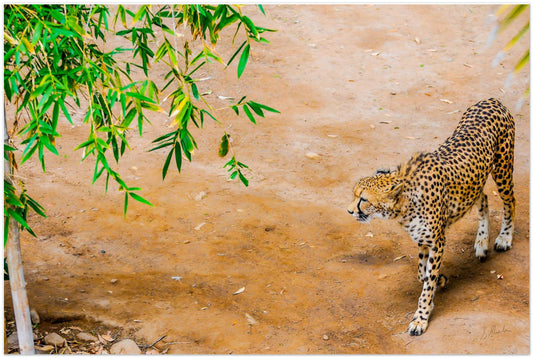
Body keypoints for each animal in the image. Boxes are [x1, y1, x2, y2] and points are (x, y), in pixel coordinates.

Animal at [348, 97, 512, 336]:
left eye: (363, 200)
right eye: (354, 195)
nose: (350, 211)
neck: (405, 205)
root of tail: (491, 99)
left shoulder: (437, 241)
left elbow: (427, 283)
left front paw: (421, 318)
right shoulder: (423, 239)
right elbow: (422, 273)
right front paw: (438, 281)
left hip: (502, 169)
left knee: (511, 202)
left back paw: (504, 238)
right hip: (475, 184)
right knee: (482, 198)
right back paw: (482, 242)